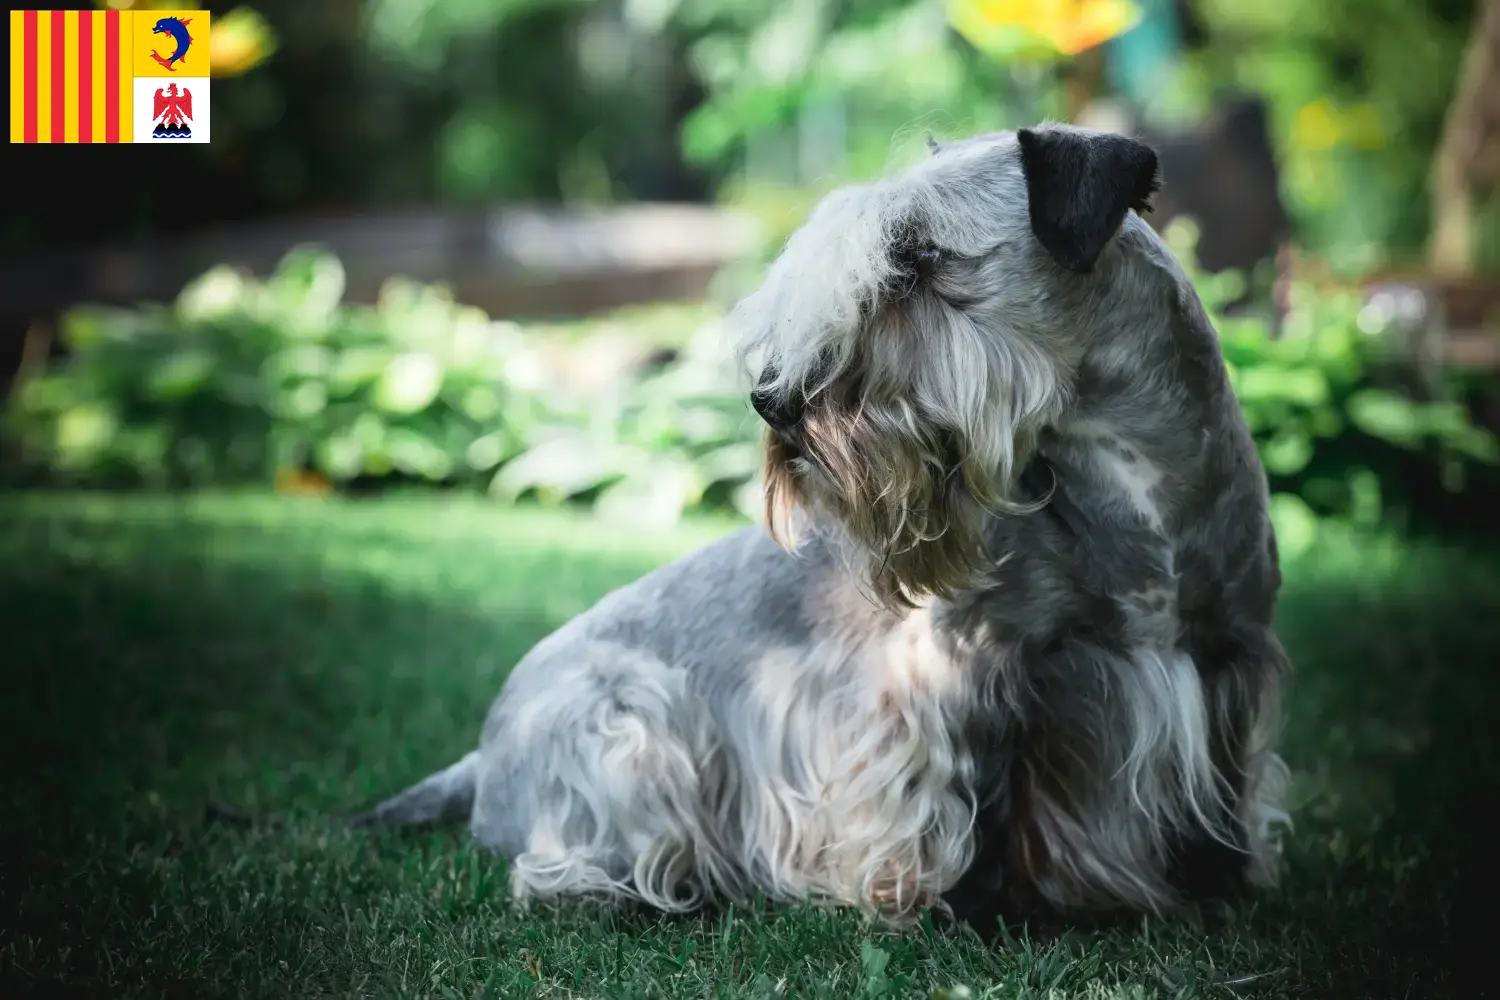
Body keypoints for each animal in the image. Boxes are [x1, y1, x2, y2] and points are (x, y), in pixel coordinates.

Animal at [351, 125, 1290, 929]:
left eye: (919, 259)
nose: (772, 402)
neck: (1126, 489)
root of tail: (483, 754)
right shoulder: (947, 681)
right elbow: (943, 801)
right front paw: (932, 902)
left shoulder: (1227, 657)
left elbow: (1216, 795)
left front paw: (1218, 878)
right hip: (627, 727)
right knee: (559, 860)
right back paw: (625, 887)